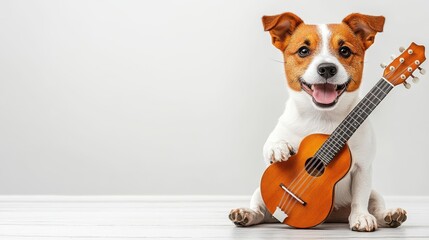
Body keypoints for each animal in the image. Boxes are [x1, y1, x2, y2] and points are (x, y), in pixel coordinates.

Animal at [229, 12, 406, 232]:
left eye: (345, 50)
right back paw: (246, 214)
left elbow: (360, 198)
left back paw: (390, 215)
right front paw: (278, 147)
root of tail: (334, 216)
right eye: (303, 50)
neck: (324, 117)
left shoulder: (363, 168)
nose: (327, 68)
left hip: (375, 193)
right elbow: (270, 145)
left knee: (375, 205)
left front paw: (361, 217)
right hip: (259, 193)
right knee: (261, 211)